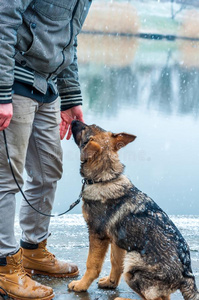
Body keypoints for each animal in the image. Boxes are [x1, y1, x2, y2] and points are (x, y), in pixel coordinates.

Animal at [69, 120, 199, 300]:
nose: (73, 120)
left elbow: (92, 264)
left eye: (84, 130)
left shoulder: (97, 235)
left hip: (133, 263)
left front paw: (81, 285)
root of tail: (187, 275)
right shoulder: (117, 239)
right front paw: (110, 283)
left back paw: (122, 299)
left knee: (153, 298)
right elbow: (116, 263)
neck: (106, 179)